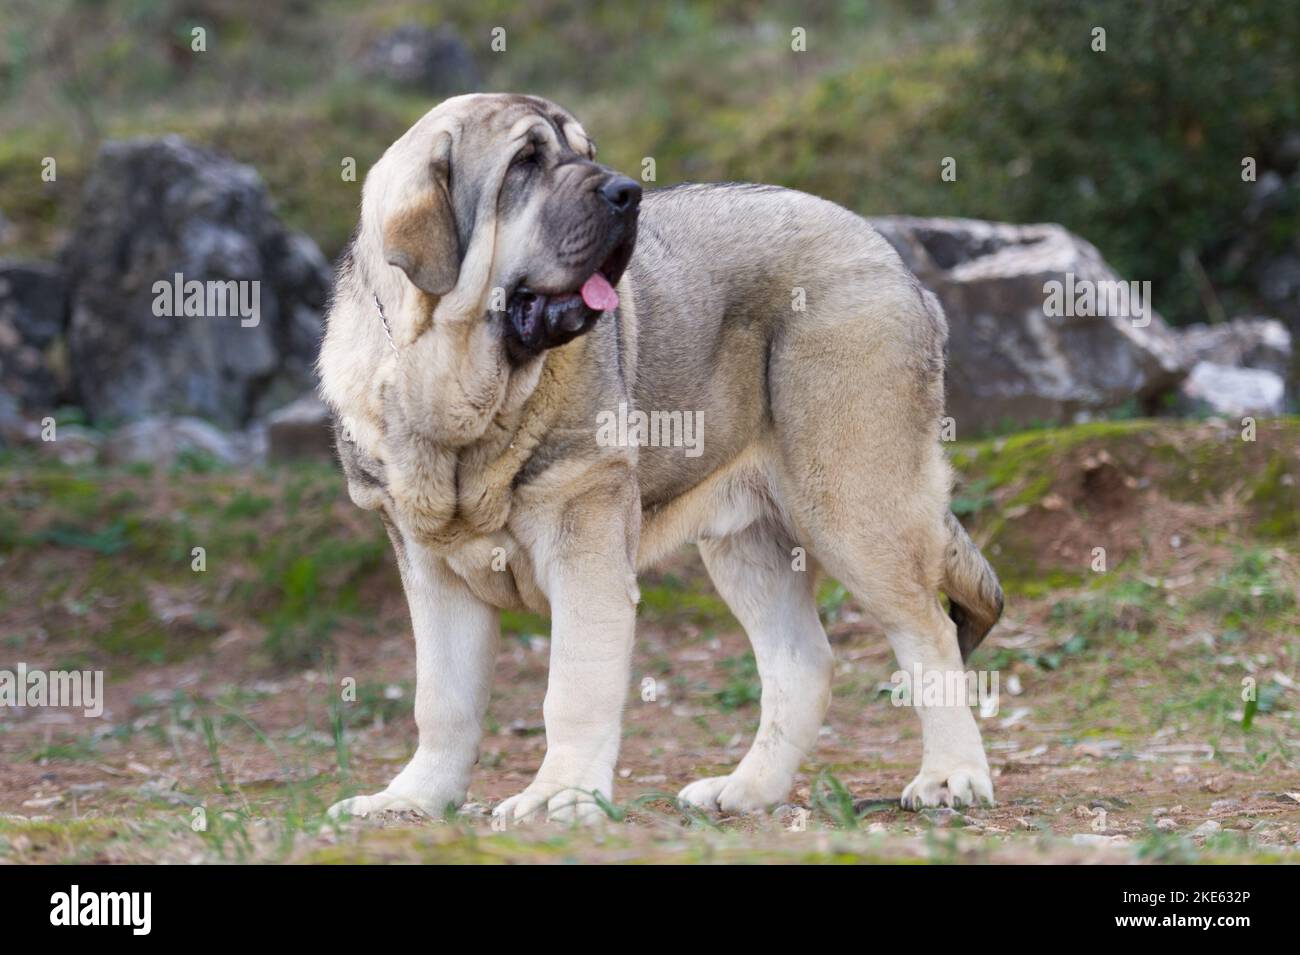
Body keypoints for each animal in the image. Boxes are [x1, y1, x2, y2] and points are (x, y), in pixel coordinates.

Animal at [317, 93, 1003, 821]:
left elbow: (573, 688)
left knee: (929, 633)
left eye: (586, 153)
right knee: (801, 663)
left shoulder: (583, 540)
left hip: (854, 505)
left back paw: (951, 775)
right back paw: (746, 789)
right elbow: (441, 701)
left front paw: (559, 795)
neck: (461, 395)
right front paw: (411, 798)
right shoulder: (430, 567)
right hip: (751, 541)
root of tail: (892, 259)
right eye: (525, 161)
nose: (626, 191)